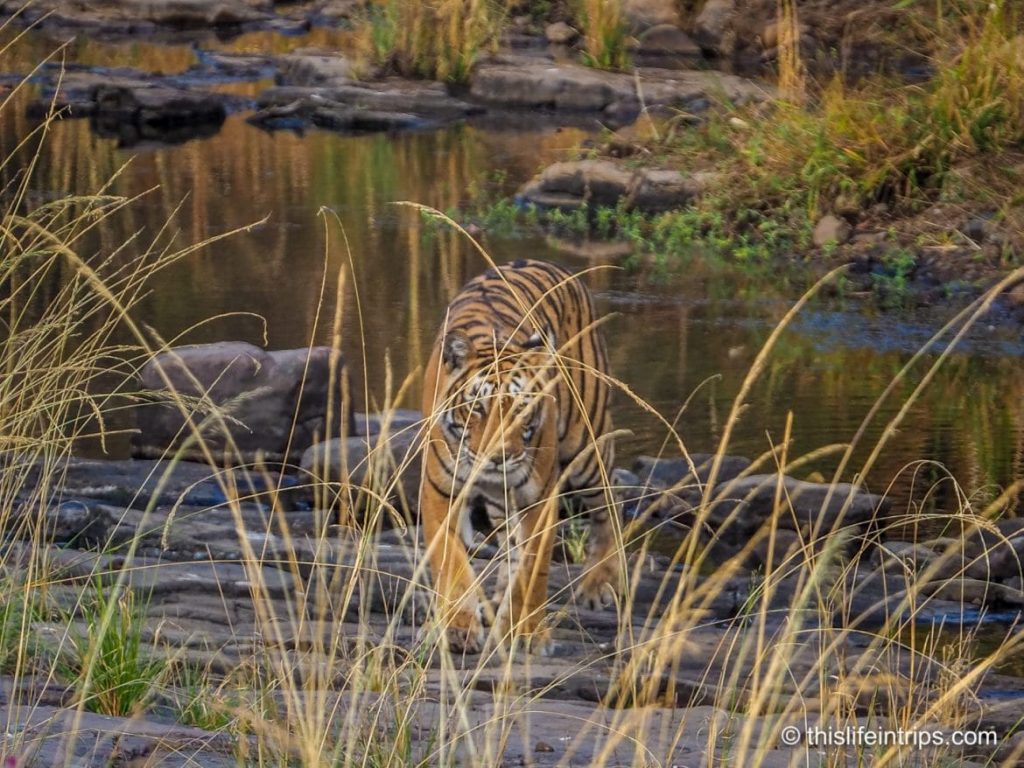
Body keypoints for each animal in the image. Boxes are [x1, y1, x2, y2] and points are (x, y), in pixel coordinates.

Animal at [419, 258, 620, 654]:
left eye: (521, 410)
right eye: (477, 409)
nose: (499, 456)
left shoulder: (539, 496)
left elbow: (533, 568)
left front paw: (527, 633)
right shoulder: (439, 490)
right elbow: (451, 563)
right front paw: (459, 627)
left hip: (586, 445)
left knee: (609, 500)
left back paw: (598, 585)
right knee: (507, 543)